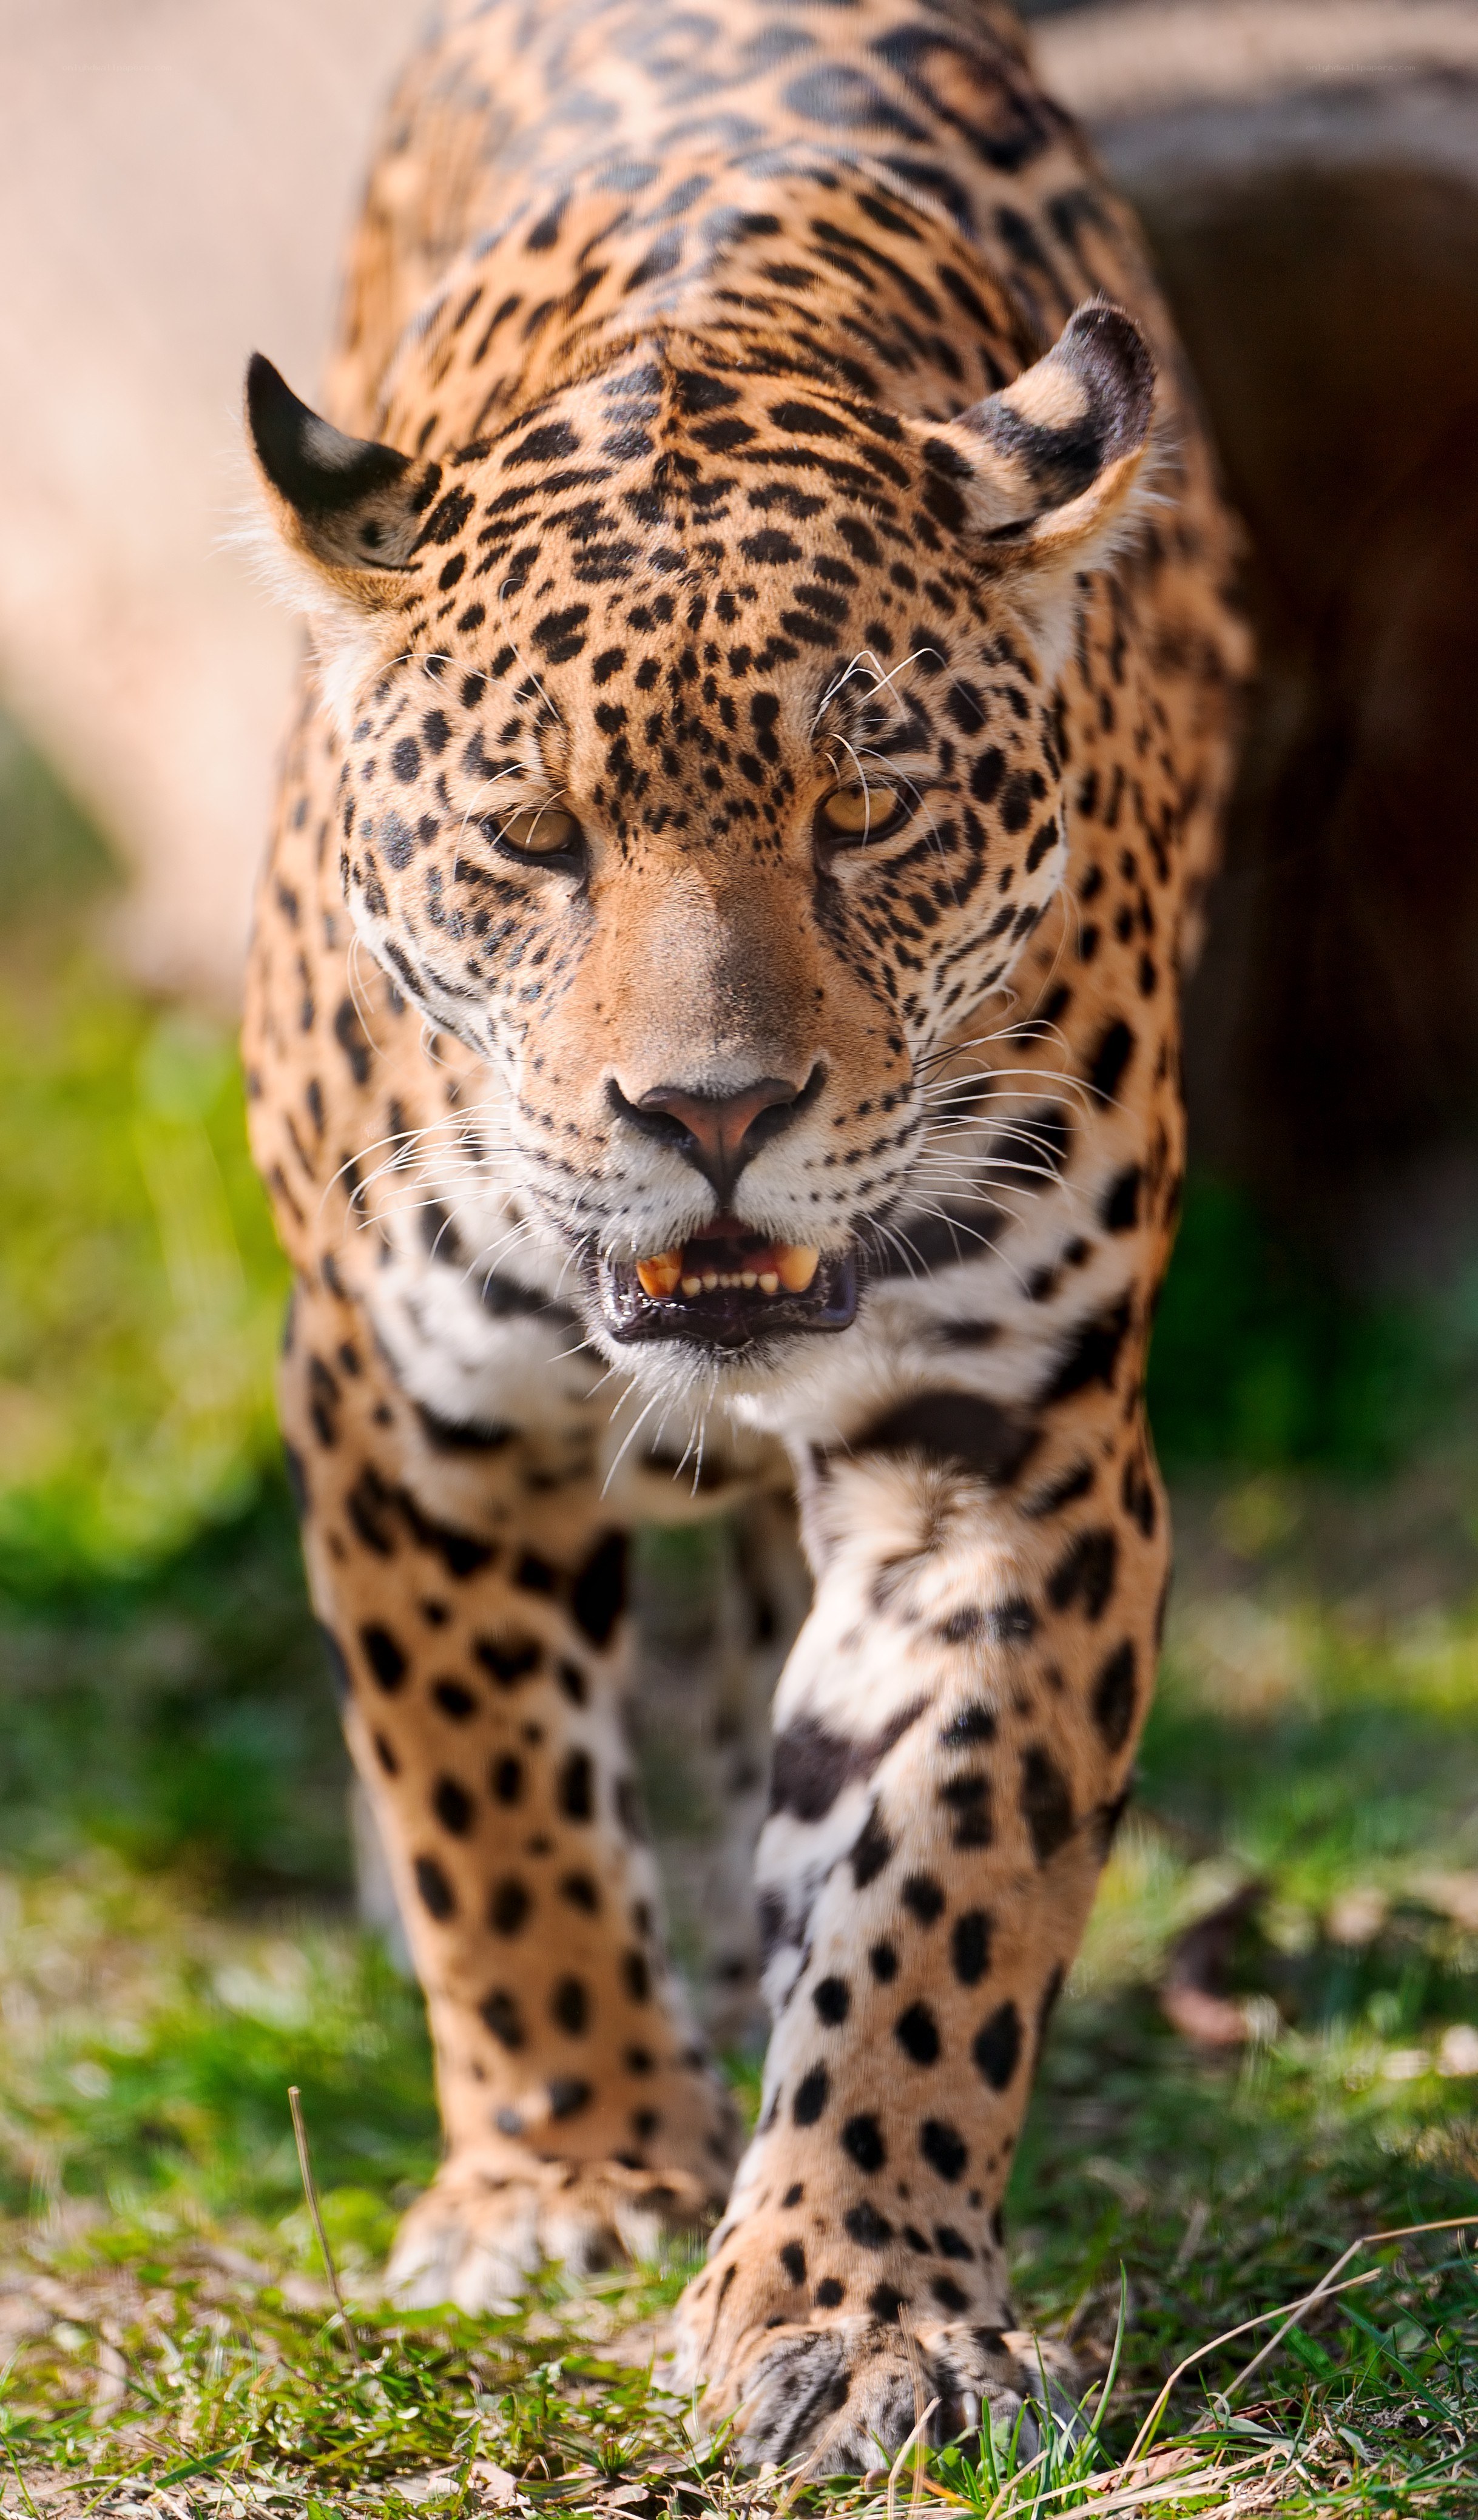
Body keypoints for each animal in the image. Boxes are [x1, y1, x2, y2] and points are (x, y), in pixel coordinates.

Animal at [241, 0, 1247, 2474]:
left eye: (864, 809)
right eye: (531, 833)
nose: (707, 1115)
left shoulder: (1008, 1445)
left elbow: (946, 1864)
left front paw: (860, 2297)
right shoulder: (410, 1406)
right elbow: (486, 1802)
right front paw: (572, 2173)